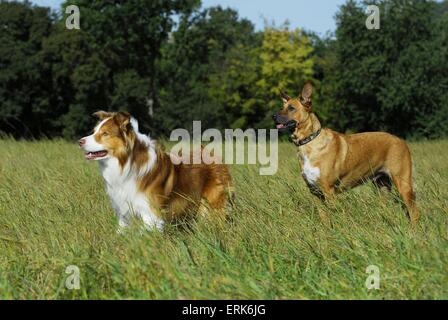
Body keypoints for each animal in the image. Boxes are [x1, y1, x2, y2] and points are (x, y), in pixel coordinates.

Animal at [272, 83, 420, 228]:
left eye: (291, 108)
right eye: (282, 107)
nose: (273, 116)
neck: (309, 141)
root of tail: (401, 140)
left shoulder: (328, 190)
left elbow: (332, 215)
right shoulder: (315, 191)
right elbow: (324, 217)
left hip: (403, 184)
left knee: (414, 211)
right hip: (381, 186)